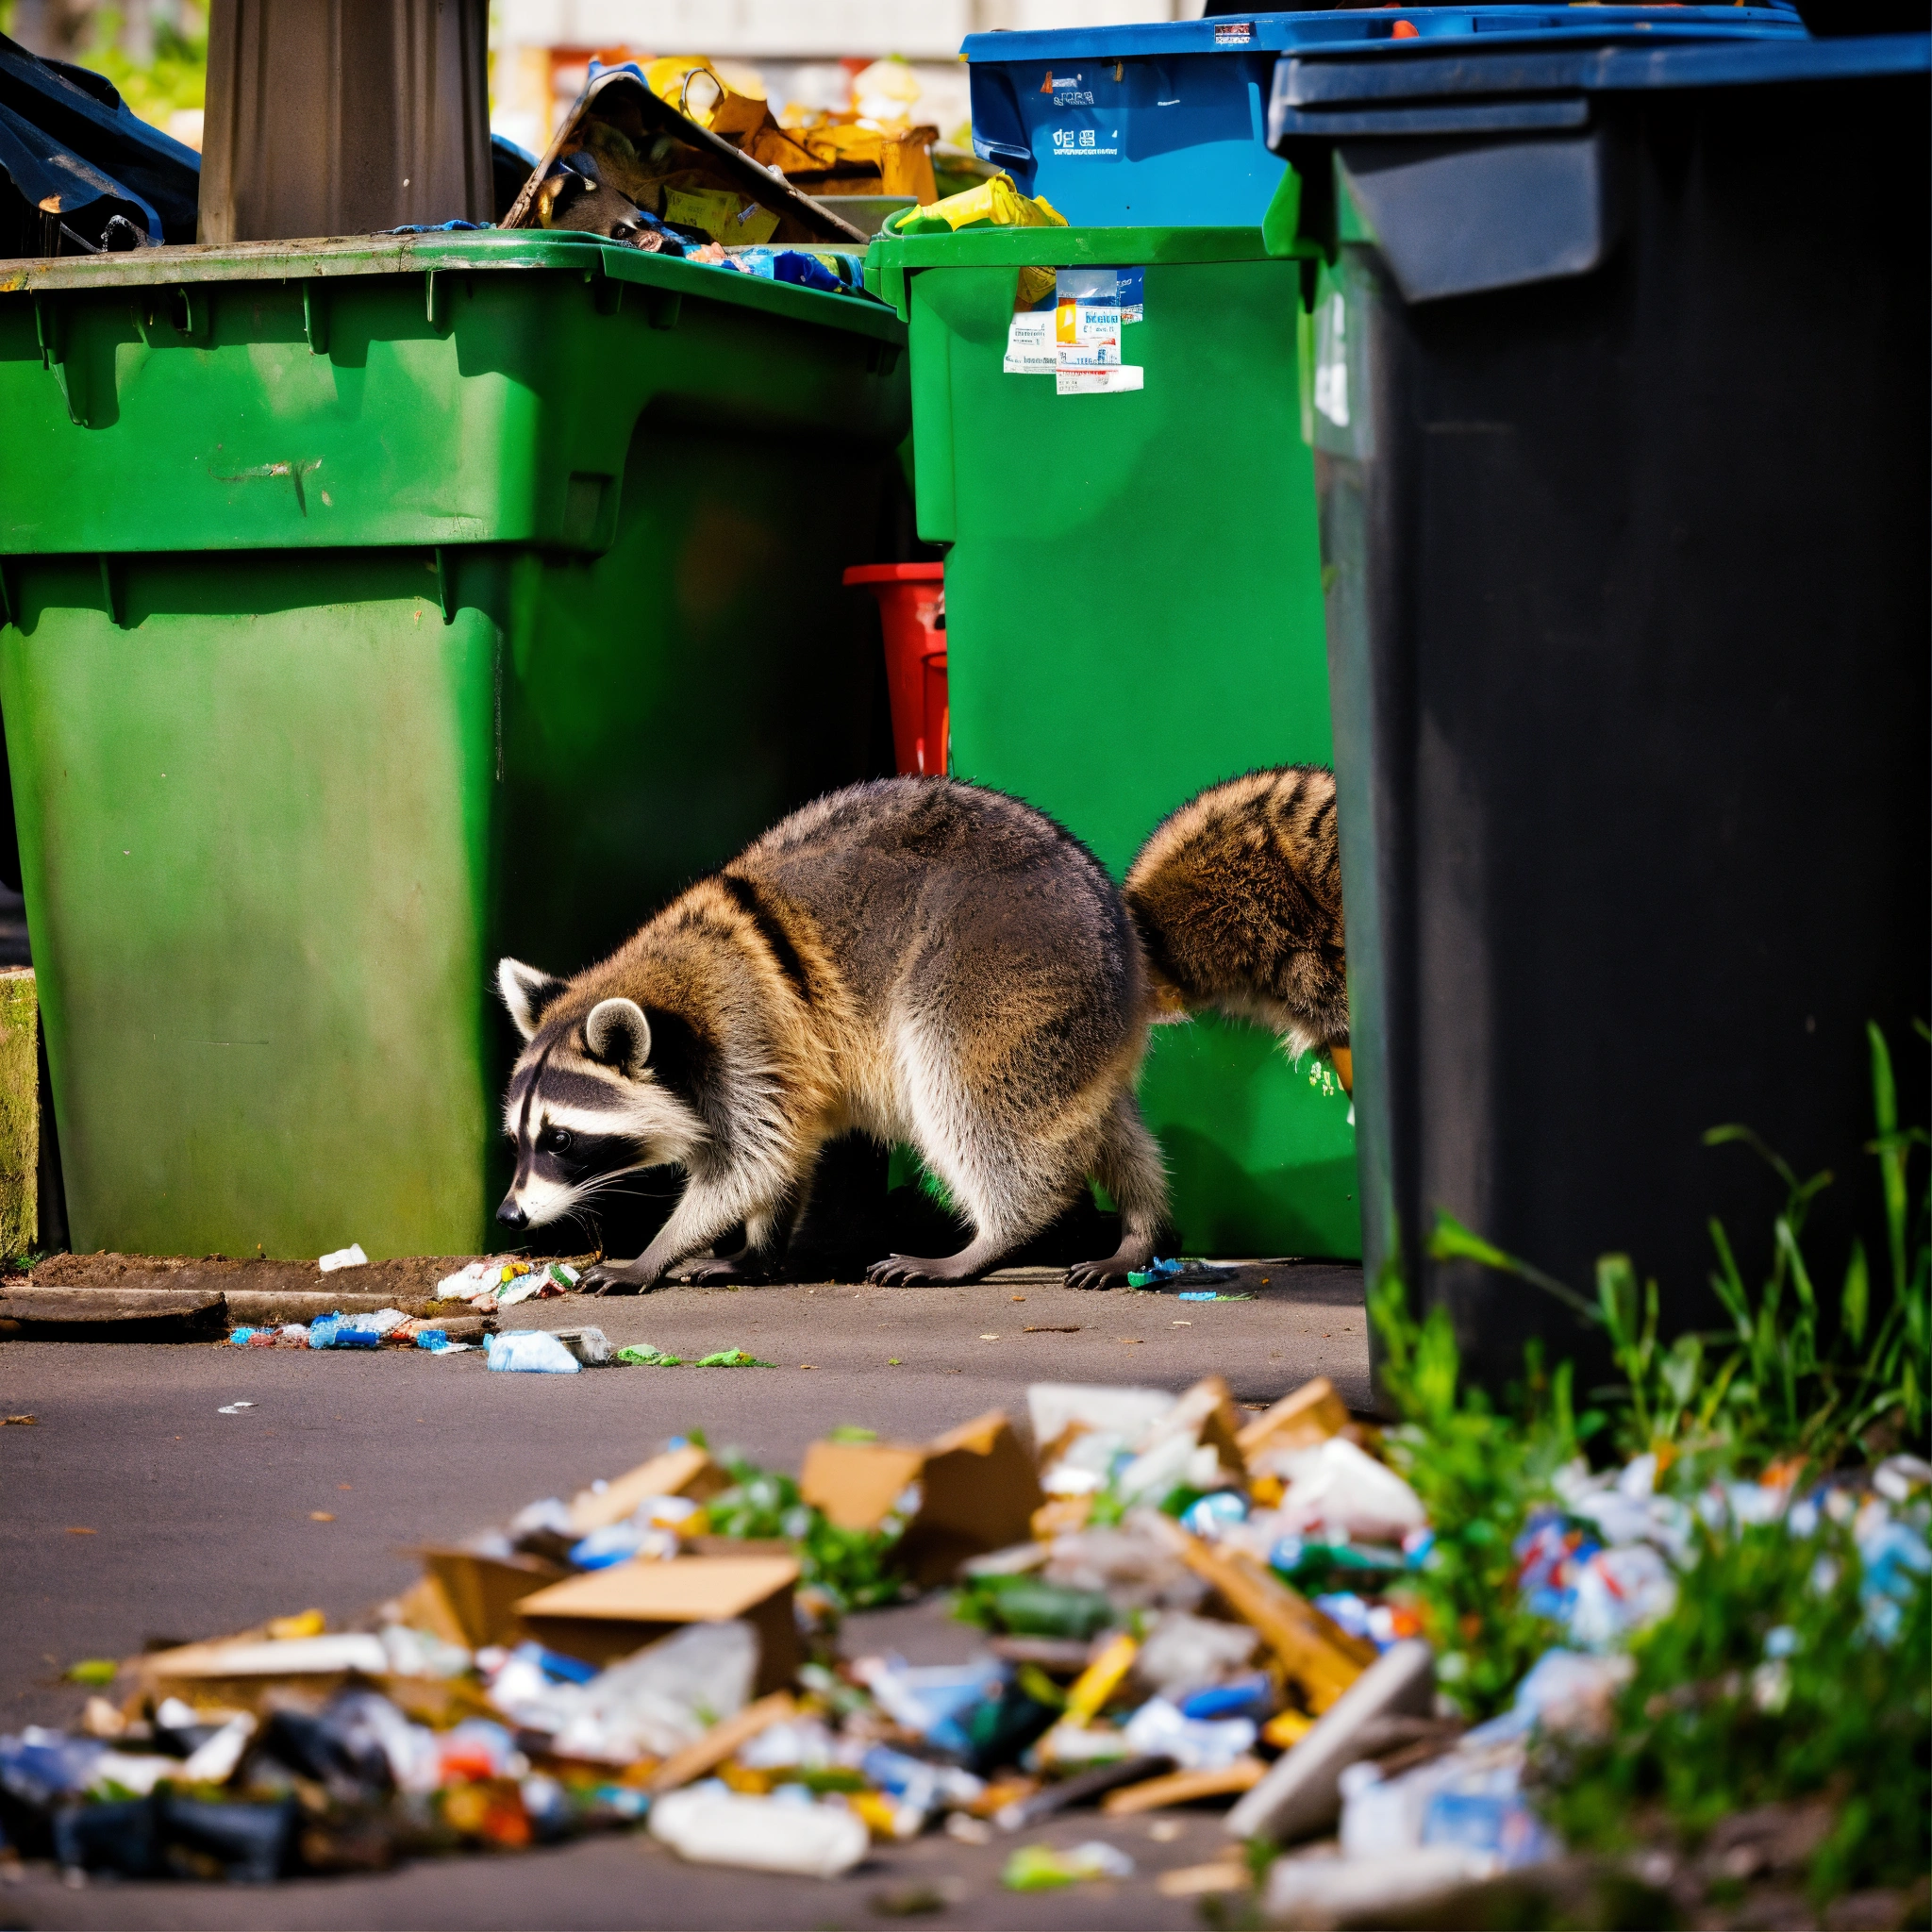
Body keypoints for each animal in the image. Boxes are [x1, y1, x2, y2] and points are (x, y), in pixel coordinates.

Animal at [495, 777, 1169, 1293]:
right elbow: (784, 1153)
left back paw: (1001, 1232)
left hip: (1001, 977)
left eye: (560, 1139)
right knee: (1102, 1119)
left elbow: (751, 1163)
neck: (667, 998)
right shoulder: (778, 1066)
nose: (509, 1215)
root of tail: (1123, 935)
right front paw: (757, 1249)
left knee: (966, 1100)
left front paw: (654, 1253)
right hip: (1074, 1028)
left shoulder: (745, 1034)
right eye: (518, 1141)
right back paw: (1143, 1226)